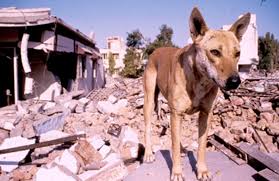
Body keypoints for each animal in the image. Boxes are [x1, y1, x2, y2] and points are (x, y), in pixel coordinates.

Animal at [144, 7, 252, 181]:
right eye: (215, 52)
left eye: (238, 53)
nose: (235, 81)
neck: (200, 81)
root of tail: (156, 51)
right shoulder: (177, 114)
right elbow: (173, 146)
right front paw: (177, 172)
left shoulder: (205, 114)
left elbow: (201, 146)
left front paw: (202, 170)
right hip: (149, 101)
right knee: (148, 127)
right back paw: (148, 153)